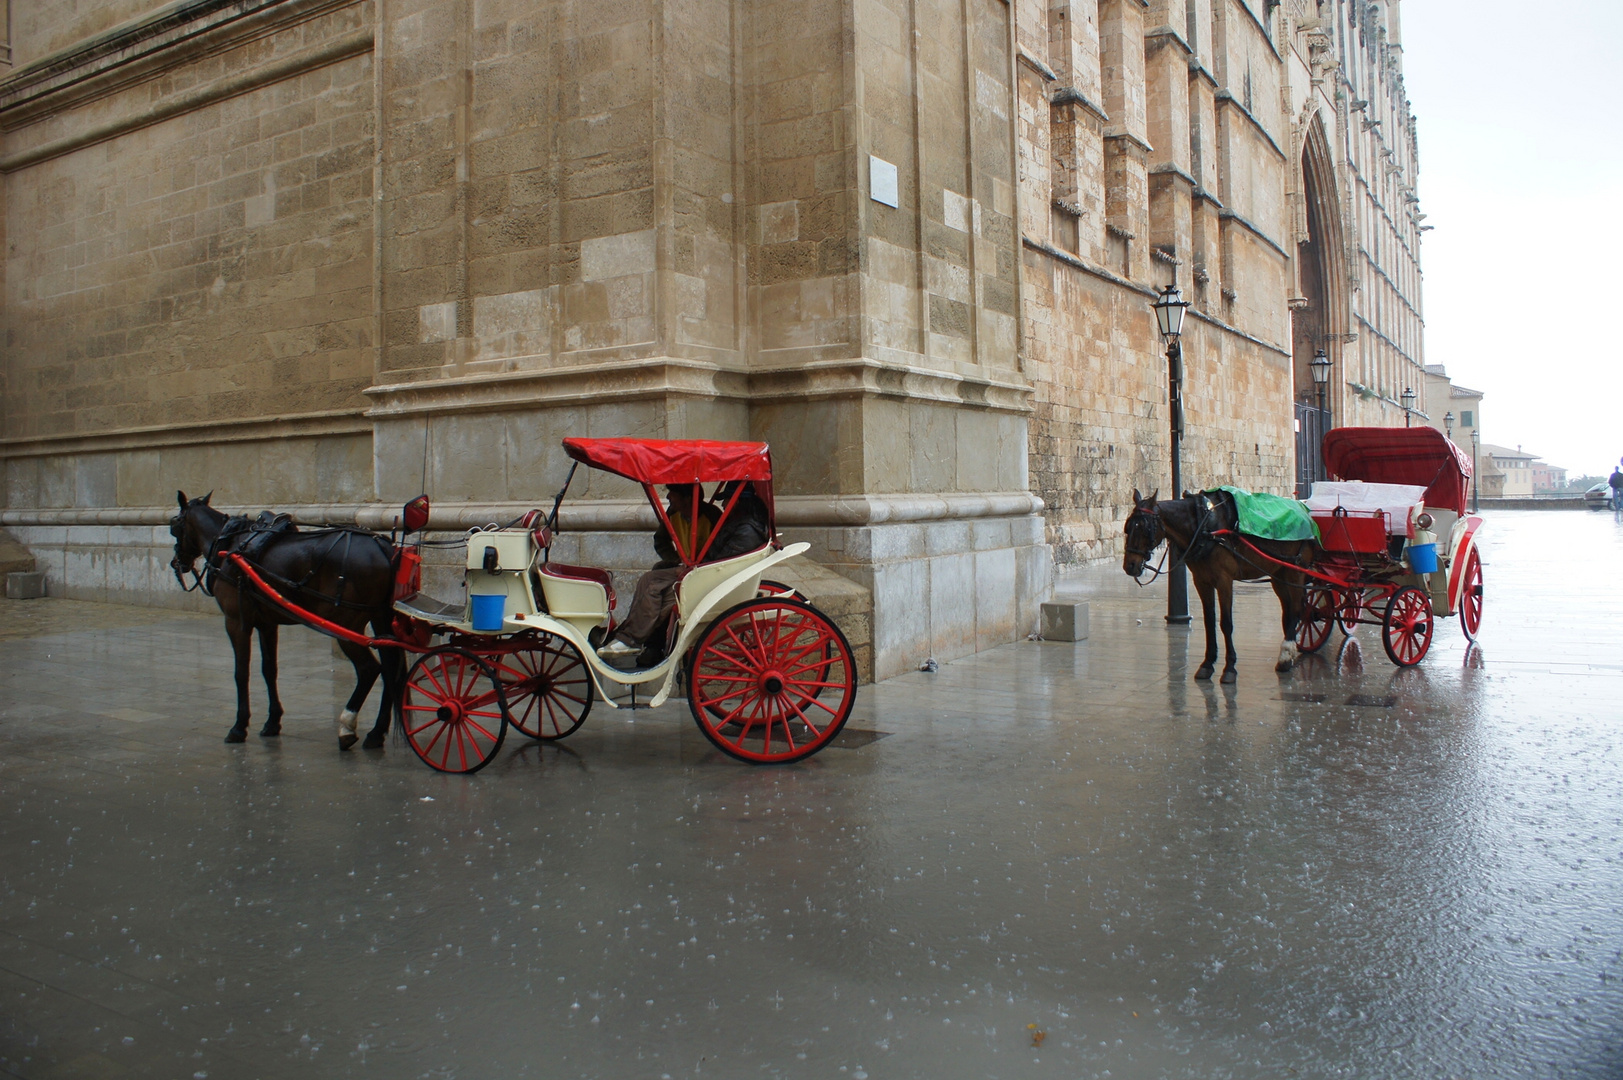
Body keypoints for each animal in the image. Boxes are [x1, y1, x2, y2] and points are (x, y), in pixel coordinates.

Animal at [168, 493, 405, 747]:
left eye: (175, 525)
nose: (176, 563)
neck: (229, 546)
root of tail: (383, 547)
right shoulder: (267, 624)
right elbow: (269, 670)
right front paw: (273, 721)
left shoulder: (236, 622)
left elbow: (241, 673)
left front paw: (239, 726)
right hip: (381, 619)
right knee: (390, 669)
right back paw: (376, 732)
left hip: (346, 625)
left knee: (369, 670)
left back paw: (347, 727)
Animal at [1129, 487, 1317, 682]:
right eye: (1128, 528)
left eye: (1145, 528)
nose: (1130, 565)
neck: (1204, 526)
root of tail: (1305, 512)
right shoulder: (1201, 581)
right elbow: (1209, 621)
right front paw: (1207, 663)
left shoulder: (1224, 580)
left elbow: (1226, 623)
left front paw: (1230, 667)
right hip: (1278, 574)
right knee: (1288, 611)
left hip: (1295, 571)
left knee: (1296, 610)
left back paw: (1286, 655)